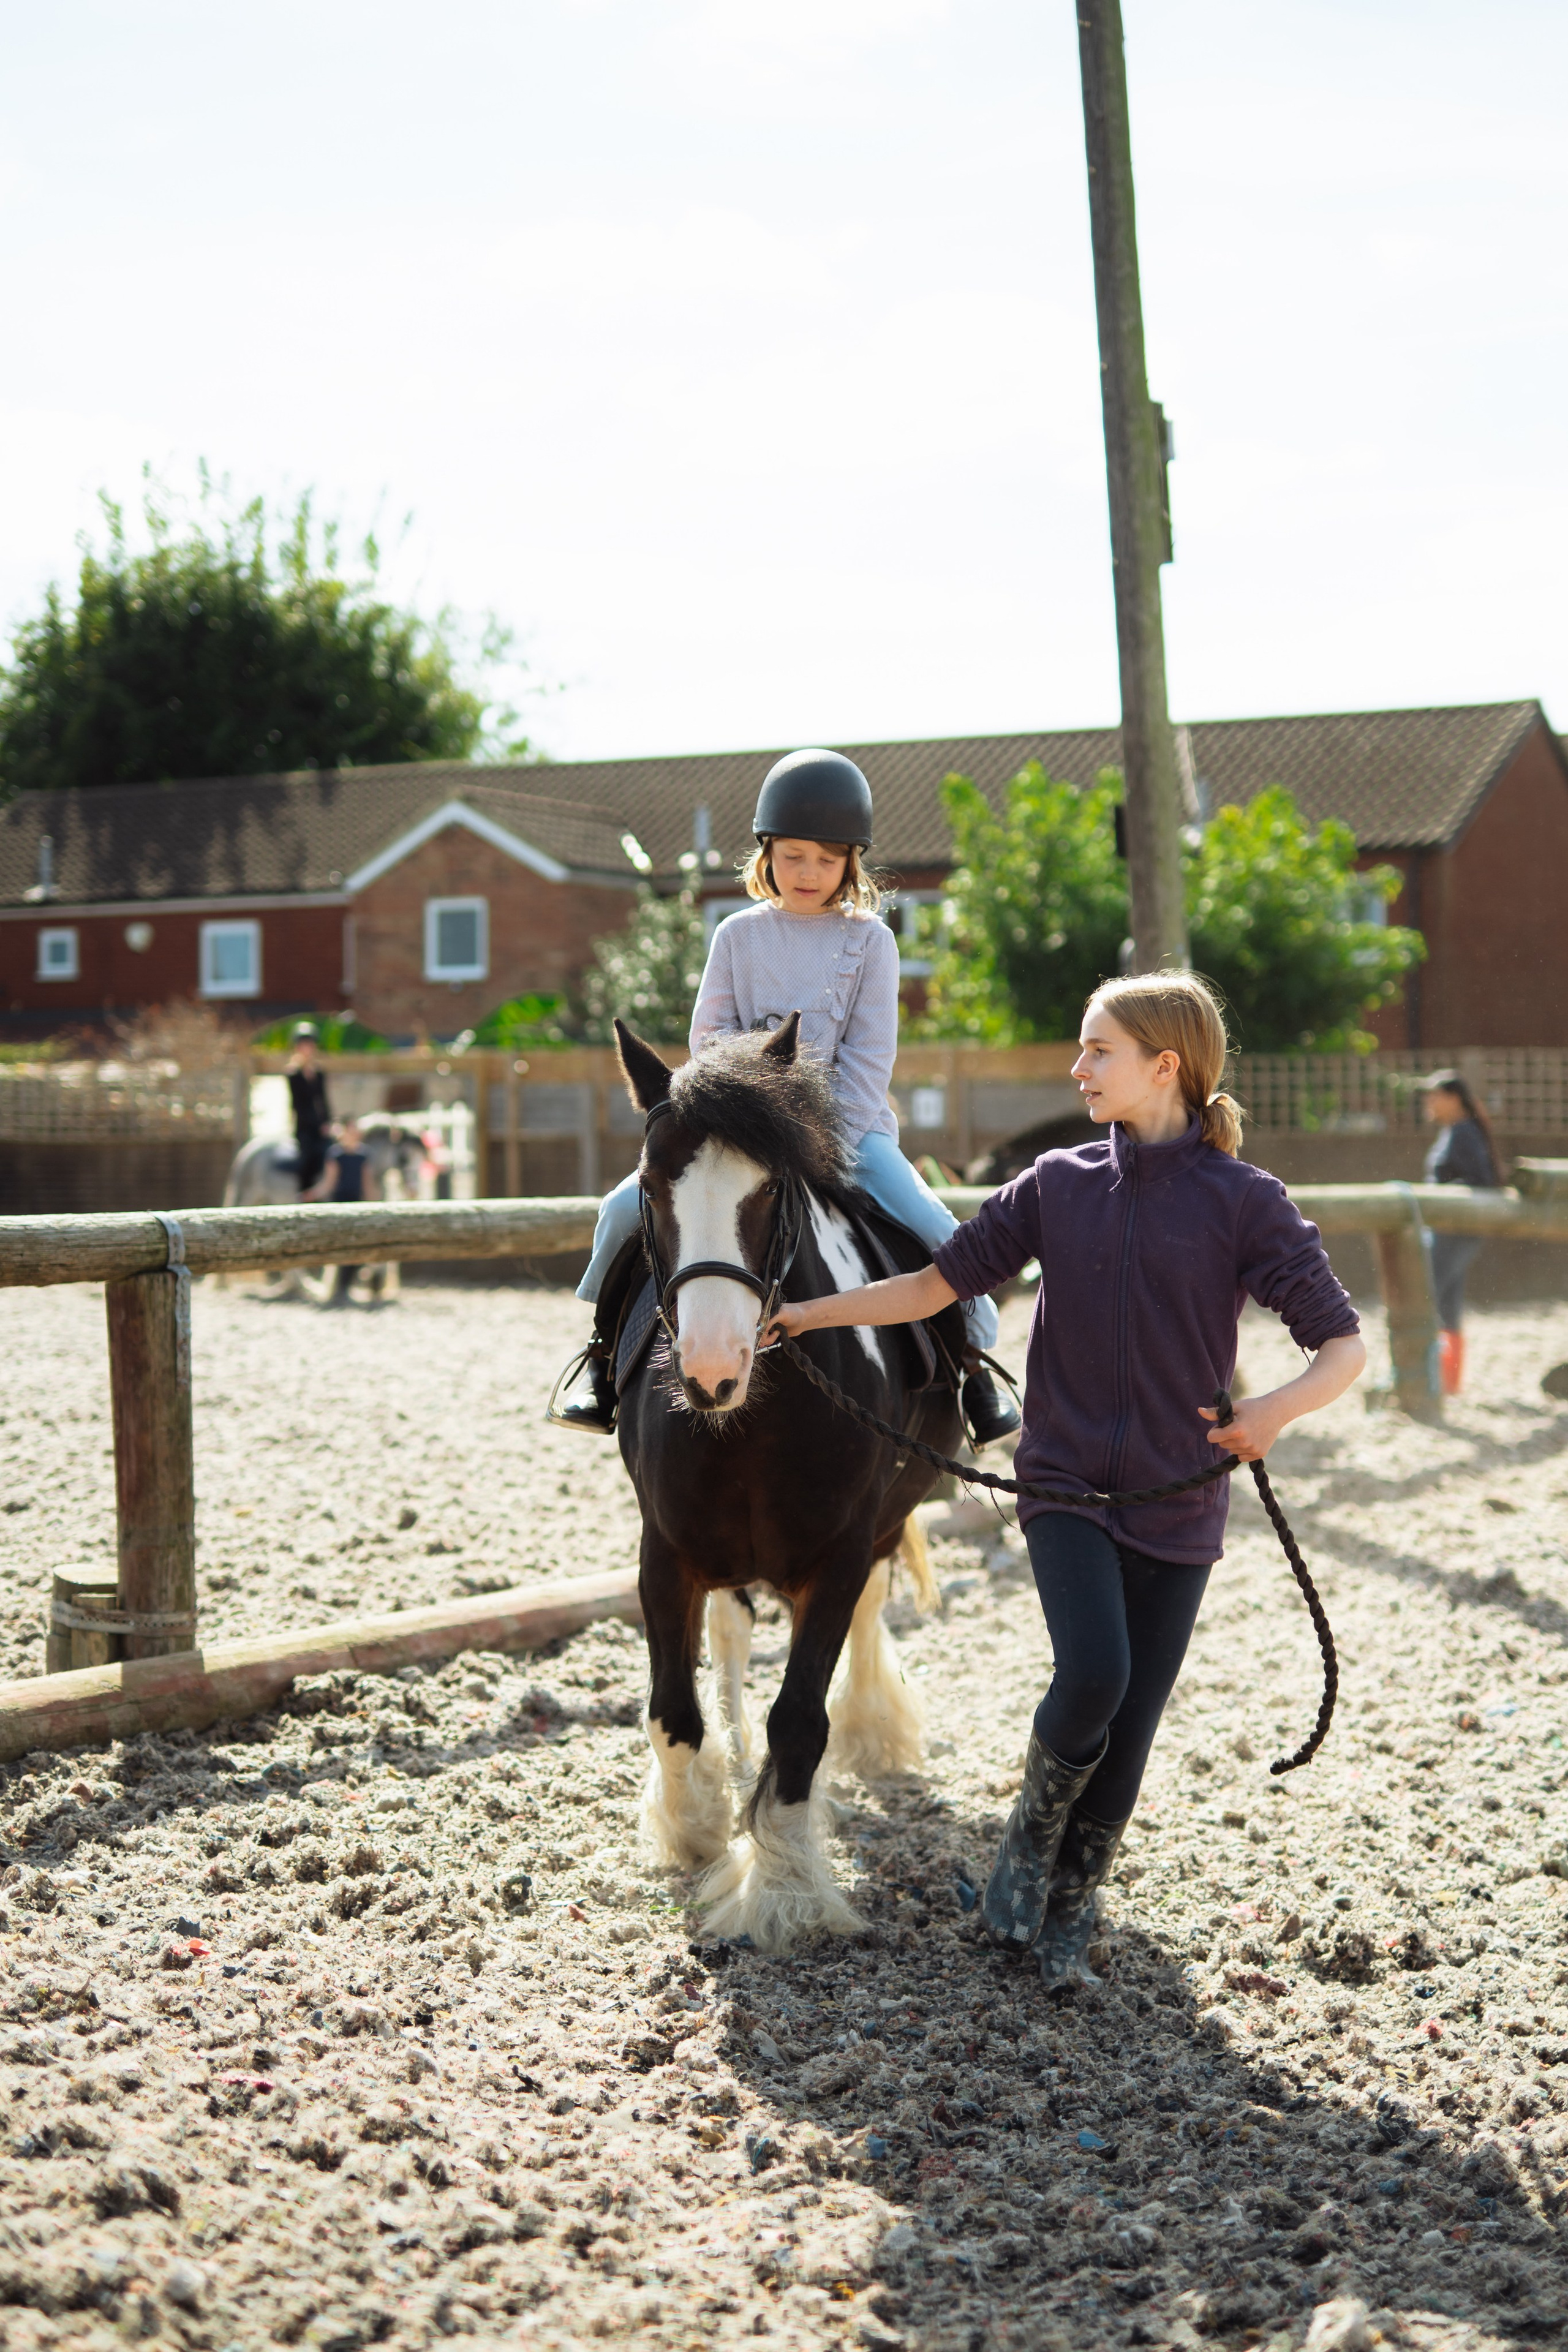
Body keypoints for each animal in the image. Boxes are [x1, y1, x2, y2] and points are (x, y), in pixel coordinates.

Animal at [612, 1013, 967, 1952]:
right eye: (650, 1185)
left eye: (771, 1190)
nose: (710, 1369)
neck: (751, 1421)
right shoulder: (665, 1555)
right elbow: (673, 1710)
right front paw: (697, 1827)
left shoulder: (837, 1557)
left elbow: (801, 1721)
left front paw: (782, 1887)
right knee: (732, 1640)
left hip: (883, 1521)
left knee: (867, 1618)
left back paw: (871, 1729)